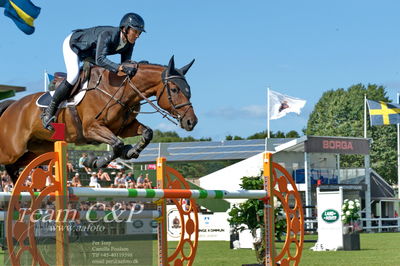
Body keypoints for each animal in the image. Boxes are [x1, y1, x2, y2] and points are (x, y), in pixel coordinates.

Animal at [0, 56, 198, 183]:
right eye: (175, 90)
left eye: (188, 89)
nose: (191, 122)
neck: (119, 90)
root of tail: (12, 105)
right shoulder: (91, 129)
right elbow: (116, 144)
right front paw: (94, 161)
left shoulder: (125, 128)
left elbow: (146, 133)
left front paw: (131, 151)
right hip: (13, 149)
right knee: (7, 163)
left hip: (36, 149)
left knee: (13, 167)